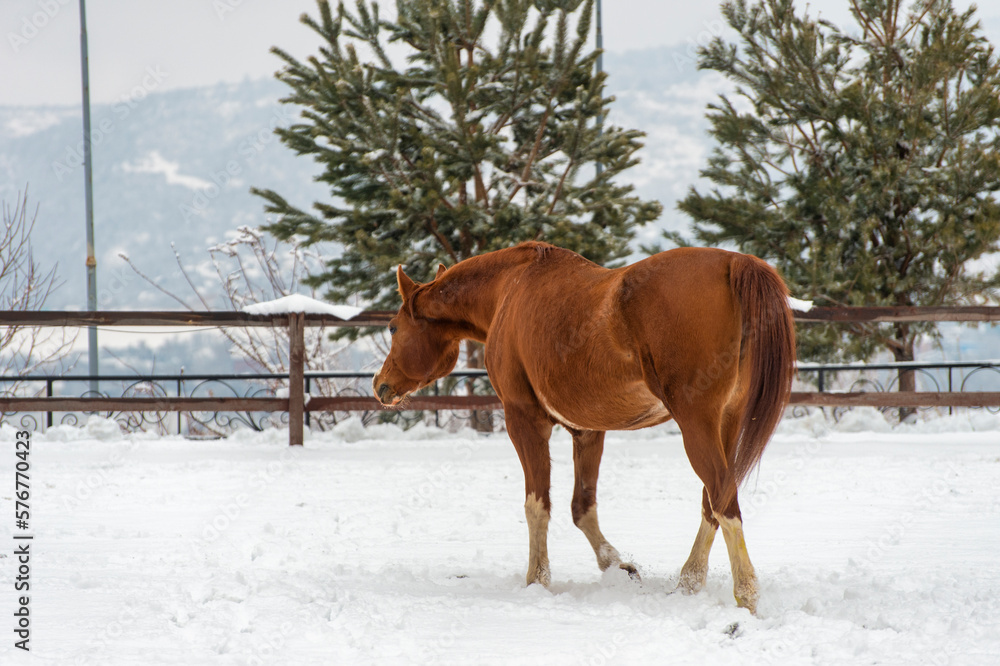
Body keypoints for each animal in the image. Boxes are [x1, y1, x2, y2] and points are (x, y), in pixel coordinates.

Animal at [373, 241, 795, 613]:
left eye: (392, 327)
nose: (380, 385)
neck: (509, 290)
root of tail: (733, 262)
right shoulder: (587, 430)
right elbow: (582, 508)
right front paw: (618, 566)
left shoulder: (524, 420)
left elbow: (537, 505)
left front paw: (537, 580)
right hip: (727, 424)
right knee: (712, 502)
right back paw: (689, 582)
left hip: (697, 425)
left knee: (723, 500)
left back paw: (745, 596)